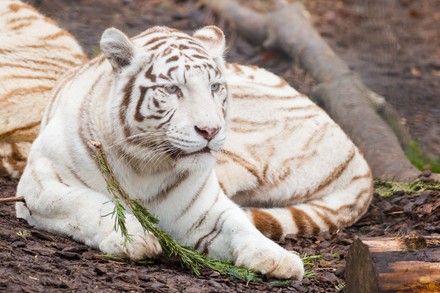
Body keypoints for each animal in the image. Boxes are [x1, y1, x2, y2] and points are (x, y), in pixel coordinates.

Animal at [14, 24, 372, 278]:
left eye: (215, 87)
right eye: (172, 89)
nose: (210, 130)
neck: (144, 165)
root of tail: (359, 159)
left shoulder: (203, 212)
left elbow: (238, 224)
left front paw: (277, 258)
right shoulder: (39, 185)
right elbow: (91, 202)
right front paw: (135, 238)